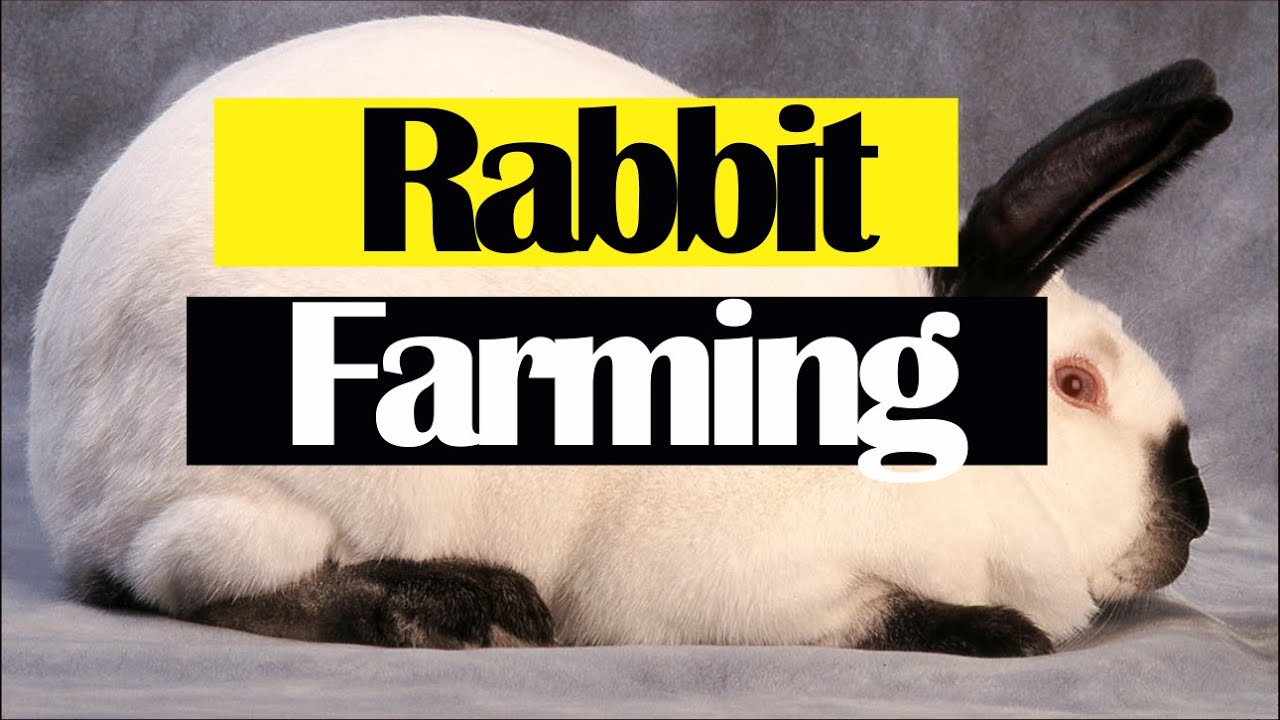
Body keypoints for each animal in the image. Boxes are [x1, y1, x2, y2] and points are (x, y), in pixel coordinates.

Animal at [28, 16, 1230, 656]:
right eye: (1074, 385)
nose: (1198, 513)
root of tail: (64, 473)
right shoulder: (741, 581)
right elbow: (875, 612)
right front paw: (999, 632)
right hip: (294, 478)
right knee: (200, 577)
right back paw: (454, 606)